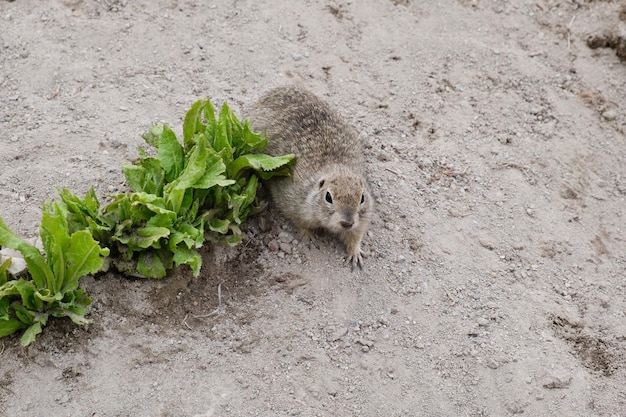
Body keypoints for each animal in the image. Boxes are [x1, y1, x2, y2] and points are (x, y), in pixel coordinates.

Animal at [247, 84, 370, 268]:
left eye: (362, 198)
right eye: (328, 197)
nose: (347, 222)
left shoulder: (361, 219)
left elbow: (355, 235)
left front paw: (355, 254)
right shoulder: (292, 202)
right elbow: (300, 222)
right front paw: (309, 236)